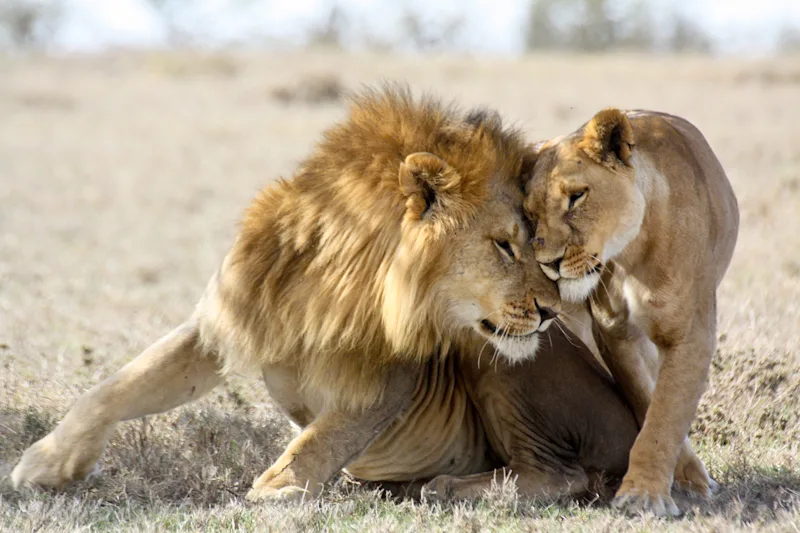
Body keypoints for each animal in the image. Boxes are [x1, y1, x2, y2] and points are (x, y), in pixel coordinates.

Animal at [12, 88, 639, 502]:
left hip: (496, 362)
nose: (553, 311)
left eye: (534, 242)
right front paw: (45, 463)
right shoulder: (226, 319)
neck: (333, 282)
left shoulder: (390, 379)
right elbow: (119, 386)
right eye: (505, 246)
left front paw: (273, 491)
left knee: (563, 474)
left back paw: (447, 484)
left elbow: (317, 441)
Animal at [523, 108, 739, 515]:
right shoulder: (613, 332)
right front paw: (665, 482)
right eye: (530, 214)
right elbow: (647, 400)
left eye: (576, 197)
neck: (630, 253)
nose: (548, 263)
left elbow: (665, 415)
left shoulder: (690, 335)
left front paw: (644, 496)